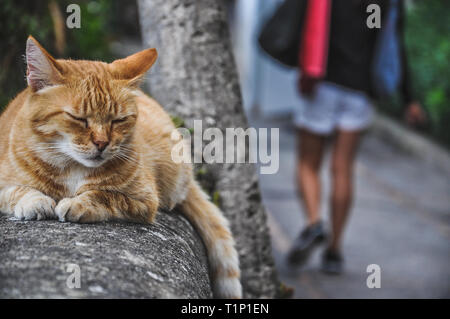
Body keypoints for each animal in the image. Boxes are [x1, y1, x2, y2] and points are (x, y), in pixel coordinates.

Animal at [0, 37, 243, 300]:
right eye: (79, 119)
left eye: (118, 120)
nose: (101, 143)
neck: (73, 167)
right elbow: (17, 190)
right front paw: (35, 201)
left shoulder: (145, 200)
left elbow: (105, 195)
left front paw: (79, 203)